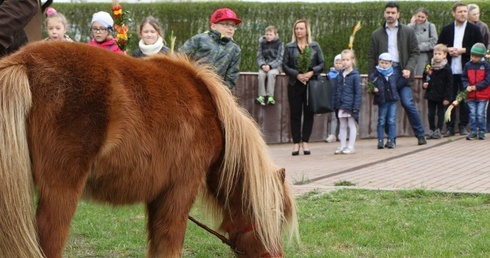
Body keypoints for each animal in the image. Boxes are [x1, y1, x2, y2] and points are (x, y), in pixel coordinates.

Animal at [0, 41, 298, 256]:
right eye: (275, 216)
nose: (274, 256)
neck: (214, 115)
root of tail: (24, 63)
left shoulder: (157, 197)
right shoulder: (179, 192)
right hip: (61, 193)